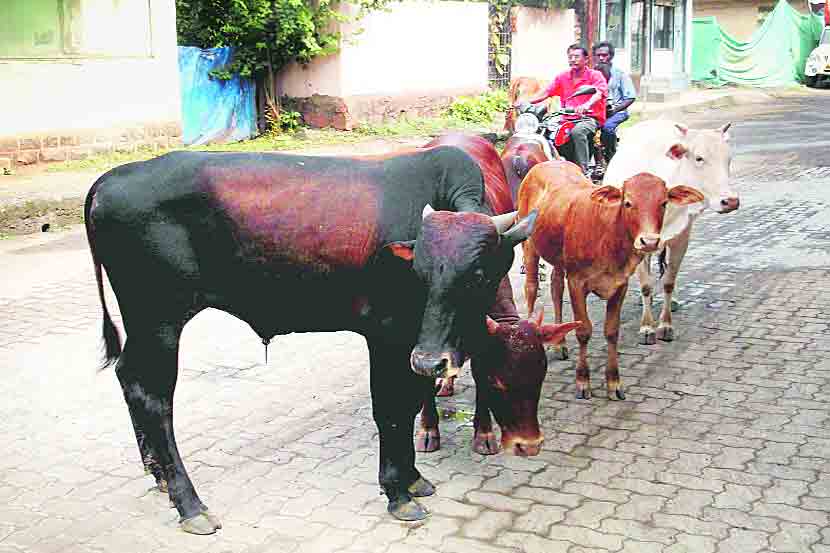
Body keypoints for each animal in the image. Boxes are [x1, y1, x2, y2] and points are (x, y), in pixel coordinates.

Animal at [86, 147, 540, 532]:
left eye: (477, 275)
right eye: (421, 273)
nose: (432, 362)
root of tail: (111, 178)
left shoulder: (414, 344)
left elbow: (409, 404)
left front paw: (414, 479)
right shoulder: (386, 335)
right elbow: (390, 410)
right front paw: (397, 492)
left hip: (147, 325)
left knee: (130, 380)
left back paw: (159, 476)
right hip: (159, 322)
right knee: (153, 397)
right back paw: (189, 503)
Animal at [520, 162, 704, 398]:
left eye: (663, 203)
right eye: (628, 202)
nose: (649, 241)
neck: (607, 234)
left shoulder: (620, 285)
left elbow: (612, 332)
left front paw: (614, 382)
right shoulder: (577, 283)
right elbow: (583, 331)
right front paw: (583, 381)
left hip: (558, 260)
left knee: (555, 286)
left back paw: (559, 344)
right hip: (529, 246)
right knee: (531, 287)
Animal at [604, 120, 740, 342]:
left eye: (728, 159)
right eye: (699, 158)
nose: (730, 201)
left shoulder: (681, 238)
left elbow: (669, 281)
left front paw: (665, 325)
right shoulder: (638, 242)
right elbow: (646, 285)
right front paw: (647, 327)